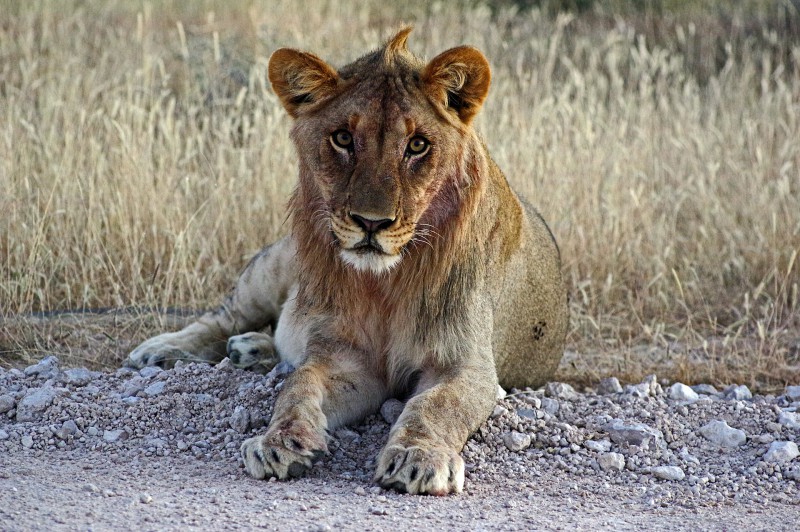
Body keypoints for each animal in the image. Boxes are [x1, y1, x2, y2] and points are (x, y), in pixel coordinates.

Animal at [126, 28, 568, 494]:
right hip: (275, 264)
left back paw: (252, 350)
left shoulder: (465, 365)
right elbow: (299, 385)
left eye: (417, 145)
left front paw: (417, 457)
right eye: (342, 138)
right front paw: (279, 442)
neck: (385, 283)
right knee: (224, 317)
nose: (371, 222)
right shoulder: (347, 358)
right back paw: (163, 350)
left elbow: (436, 406)